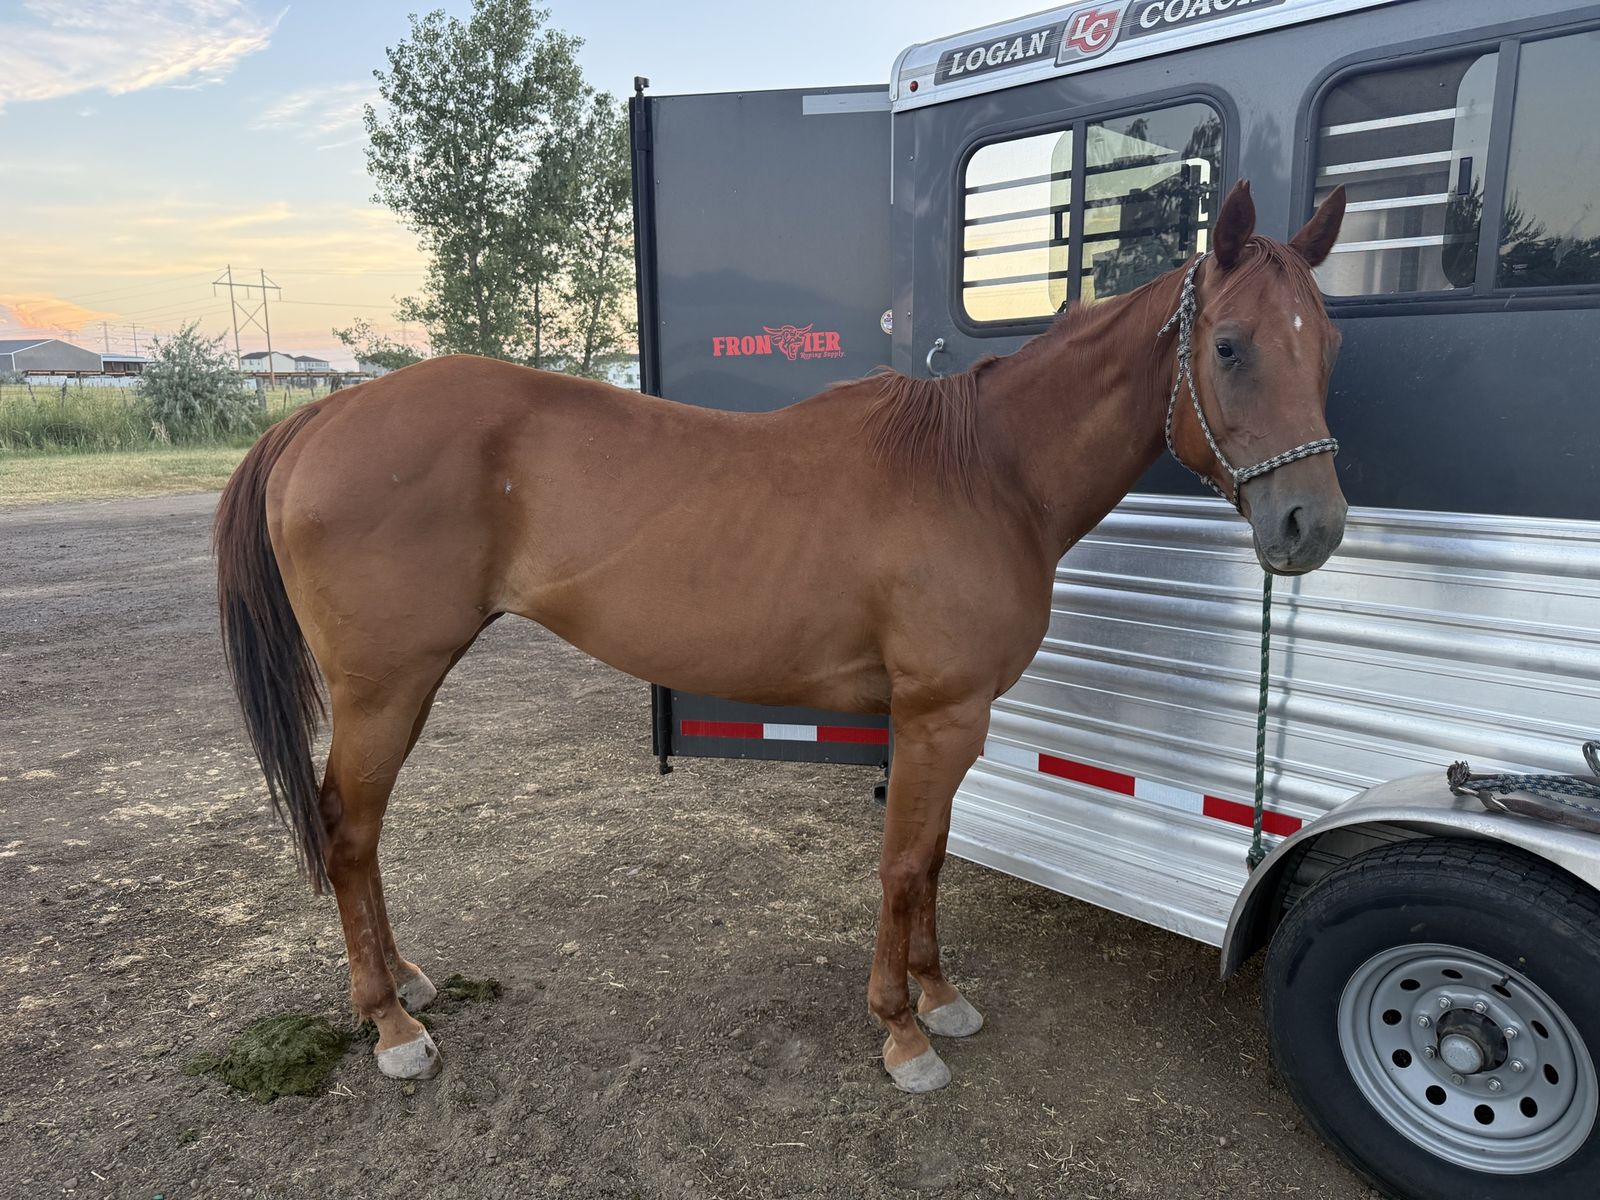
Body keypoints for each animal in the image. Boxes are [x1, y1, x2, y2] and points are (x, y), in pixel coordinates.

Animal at [214, 180, 1349, 1093]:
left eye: (1326, 344)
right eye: (1230, 346)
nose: (1313, 526)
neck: (985, 474)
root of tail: (322, 417)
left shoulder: (948, 722)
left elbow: (931, 860)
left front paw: (939, 997)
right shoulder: (937, 715)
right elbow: (904, 865)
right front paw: (901, 1033)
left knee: (356, 837)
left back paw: (405, 981)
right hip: (385, 686)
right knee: (347, 832)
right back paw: (390, 1023)